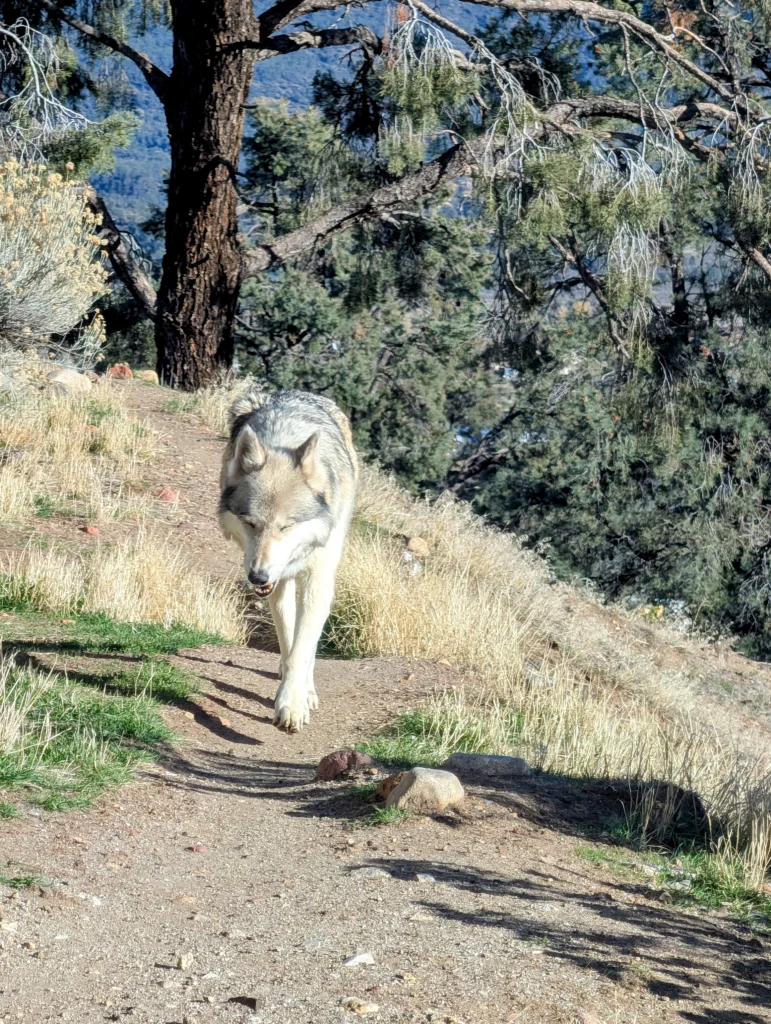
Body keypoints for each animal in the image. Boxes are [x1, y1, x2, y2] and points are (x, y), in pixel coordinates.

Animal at [218, 389, 358, 731]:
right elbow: (288, 638)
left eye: (286, 526)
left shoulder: (318, 579)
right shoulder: (278, 581)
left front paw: (292, 705)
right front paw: (293, 695)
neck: (286, 436)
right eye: (250, 523)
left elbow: (302, 649)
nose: (257, 577)